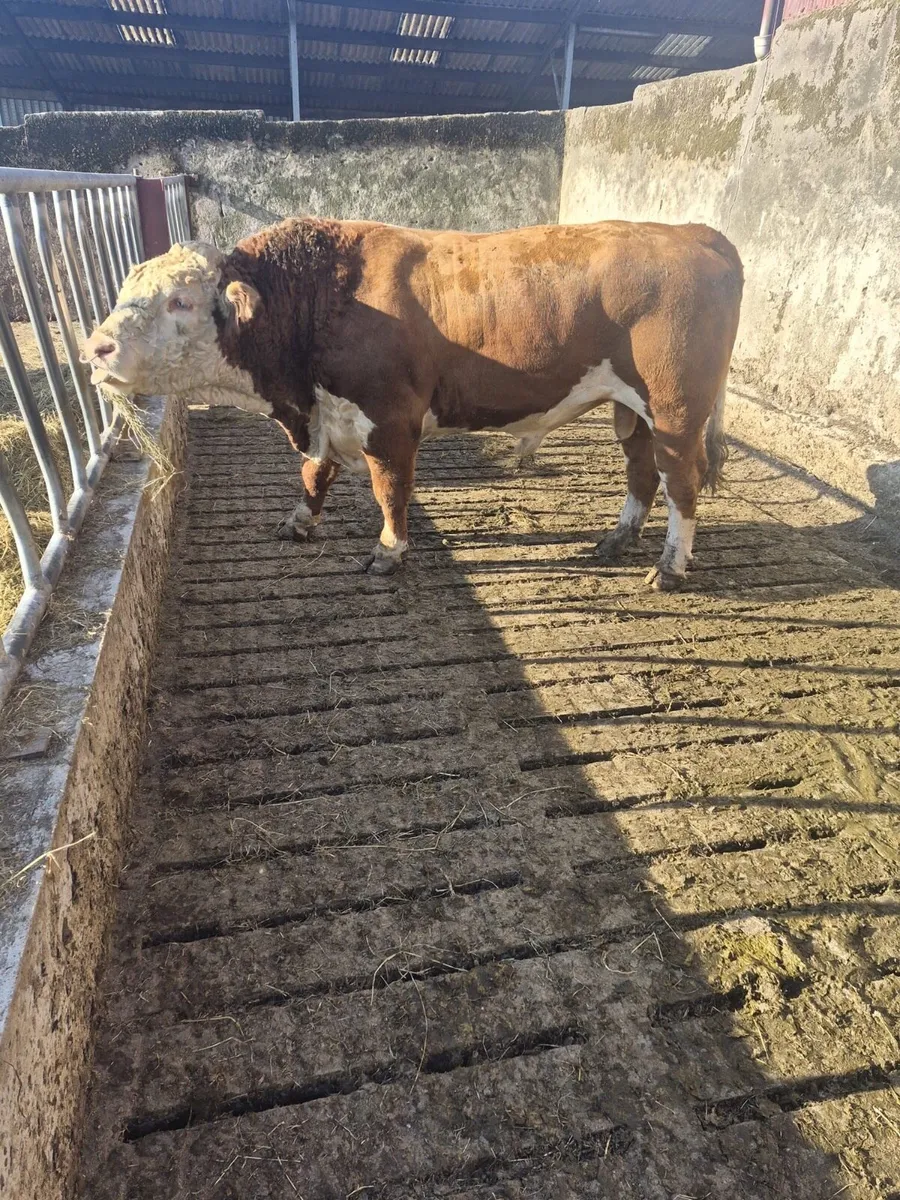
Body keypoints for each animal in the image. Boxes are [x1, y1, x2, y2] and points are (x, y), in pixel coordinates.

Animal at [81, 217, 743, 590]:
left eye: (180, 301)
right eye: (127, 288)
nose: (95, 347)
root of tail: (692, 233)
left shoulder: (391, 421)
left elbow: (390, 491)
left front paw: (388, 551)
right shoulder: (326, 412)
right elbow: (314, 472)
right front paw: (300, 521)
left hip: (676, 408)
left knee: (681, 482)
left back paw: (671, 567)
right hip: (631, 408)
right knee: (641, 472)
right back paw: (617, 539)